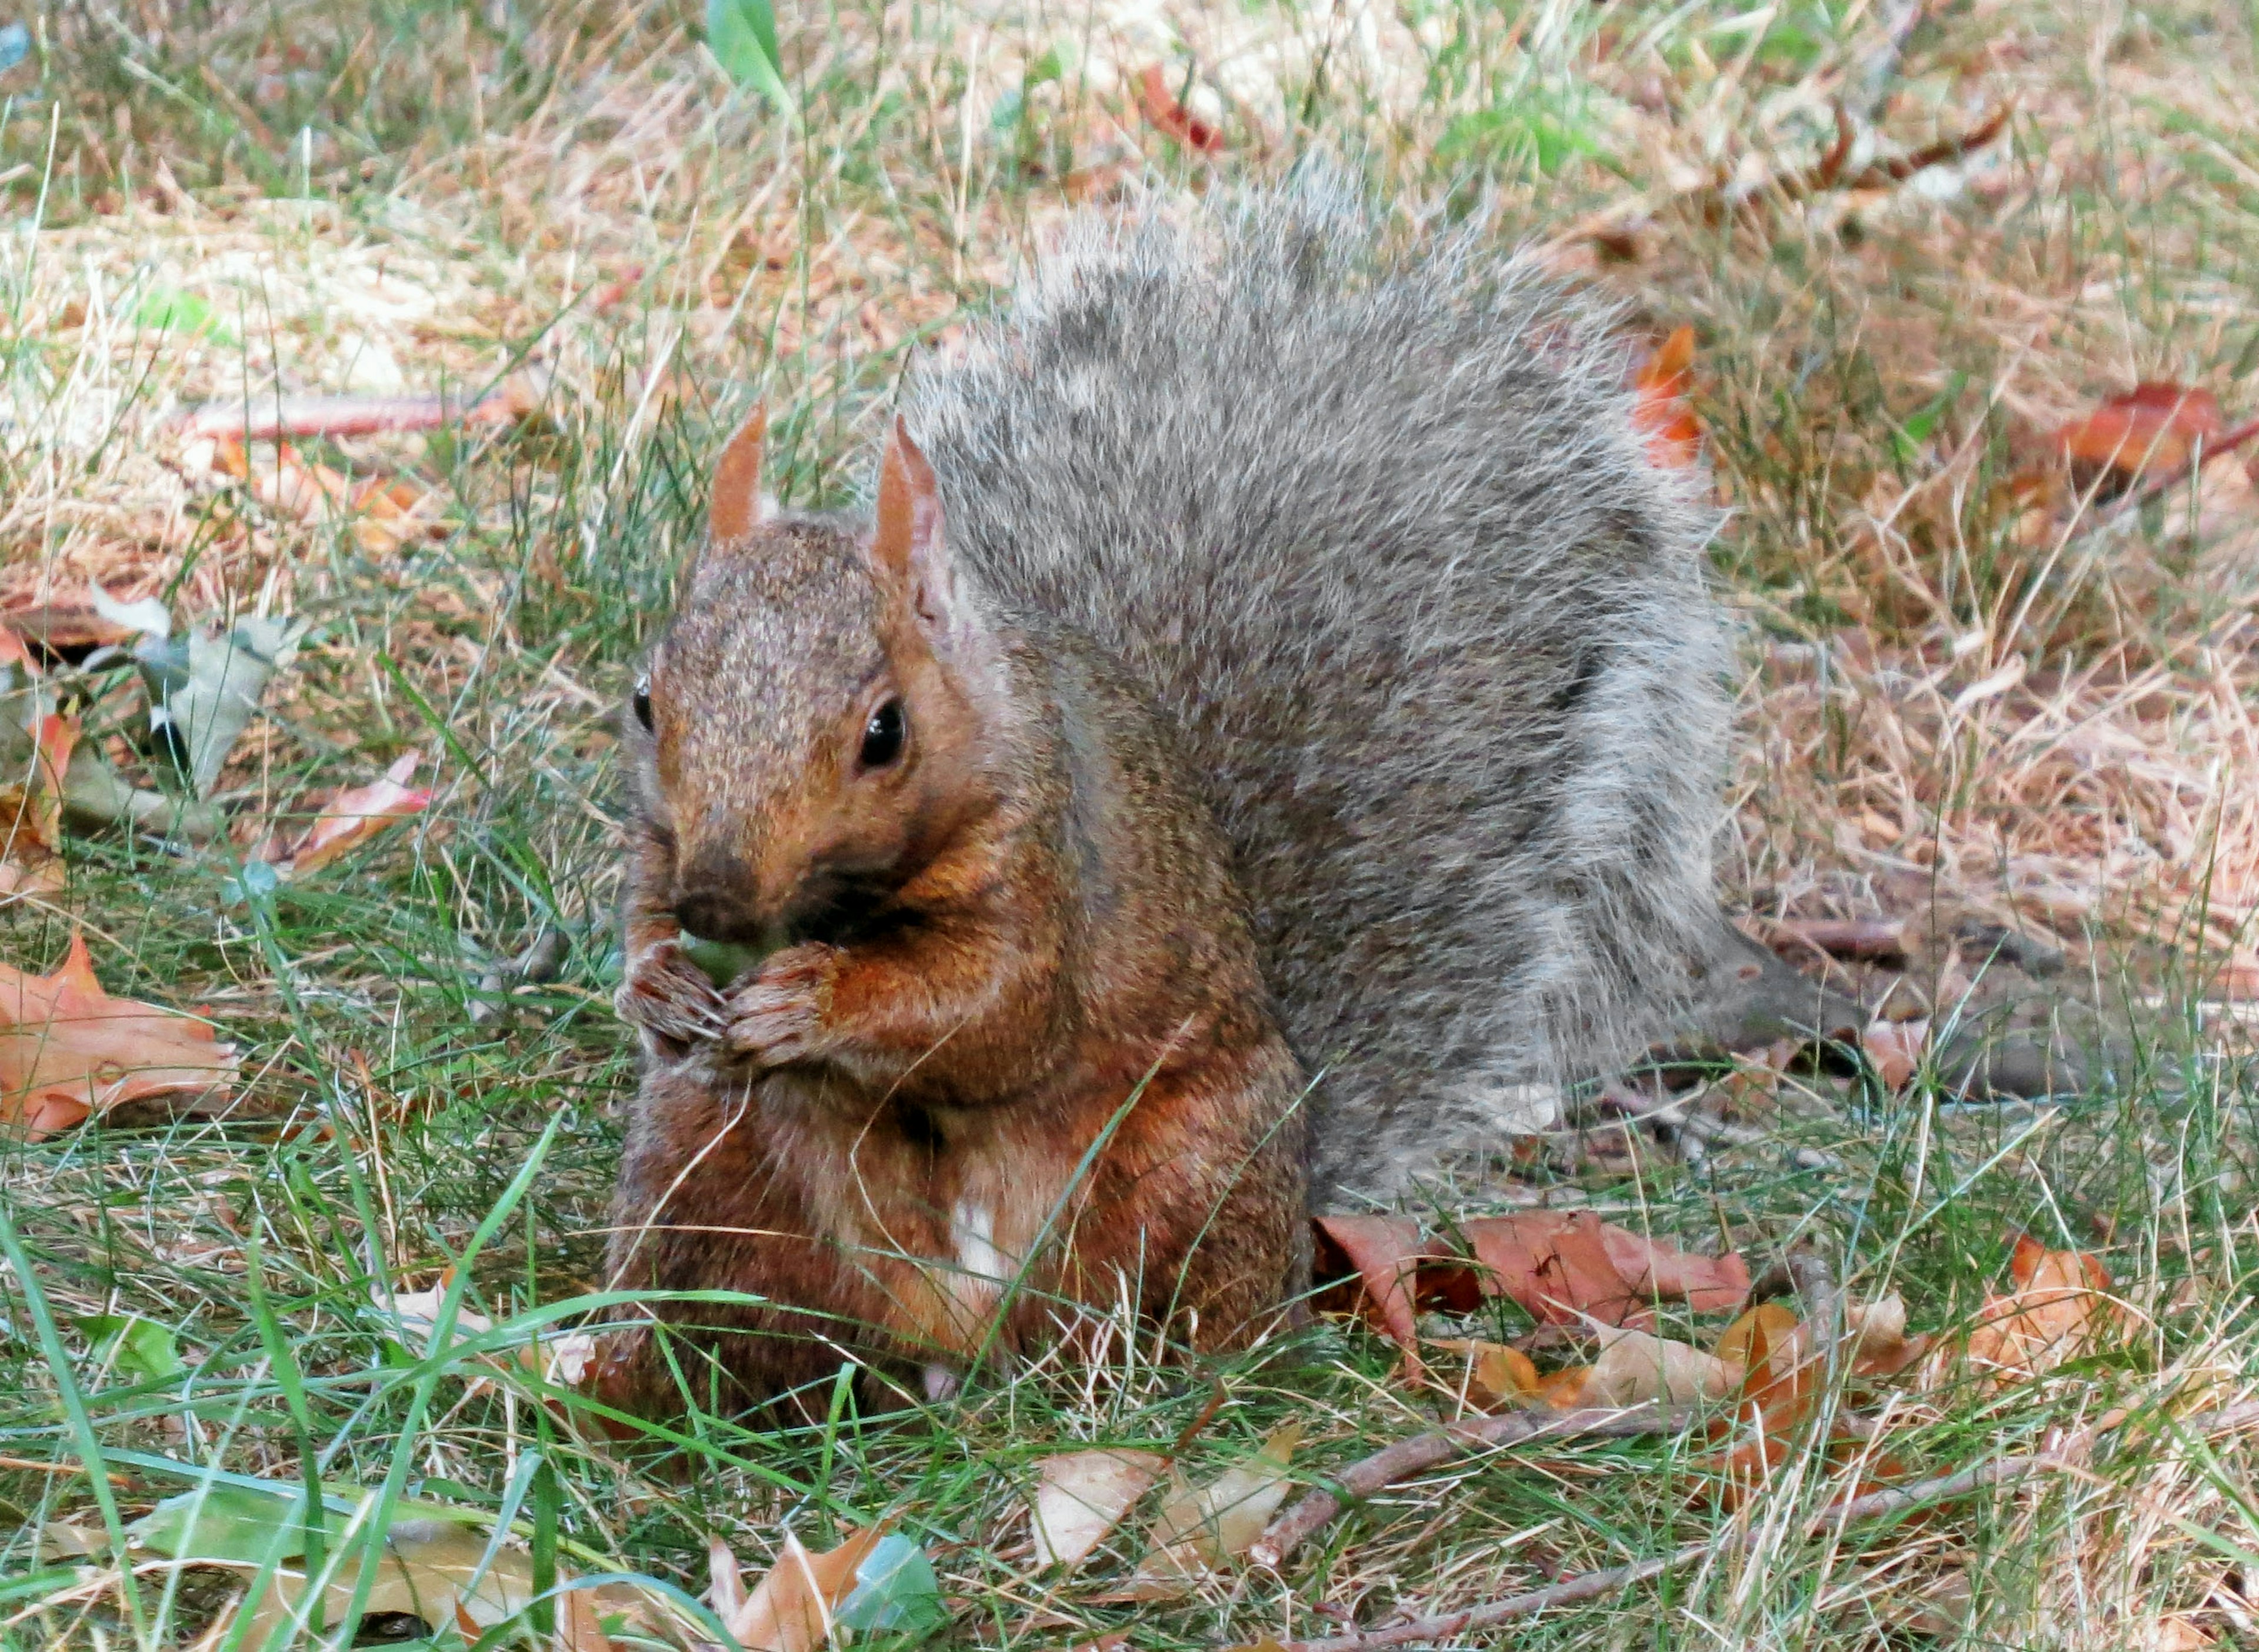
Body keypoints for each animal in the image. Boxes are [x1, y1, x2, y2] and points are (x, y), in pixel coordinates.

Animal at [601, 168, 1725, 1417]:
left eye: (884, 732)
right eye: (647, 701)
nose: (718, 906)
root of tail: (962, 1340)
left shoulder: (1048, 861)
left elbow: (996, 1011)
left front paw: (813, 998)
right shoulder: (660, 845)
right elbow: (646, 918)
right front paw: (659, 982)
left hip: (1182, 1173)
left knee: (1155, 1316)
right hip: (706, 1171)